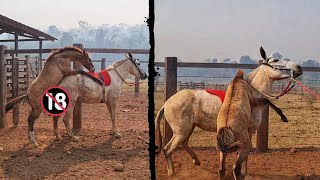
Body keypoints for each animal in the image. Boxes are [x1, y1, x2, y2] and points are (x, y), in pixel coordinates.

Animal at [155, 46, 302, 177]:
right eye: (276, 60)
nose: (298, 67)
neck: (250, 91)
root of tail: (167, 103)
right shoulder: (249, 131)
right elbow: (245, 154)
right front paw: (245, 173)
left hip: (188, 129)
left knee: (183, 143)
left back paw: (196, 161)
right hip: (181, 132)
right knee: (168, 149)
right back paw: (172, 173)